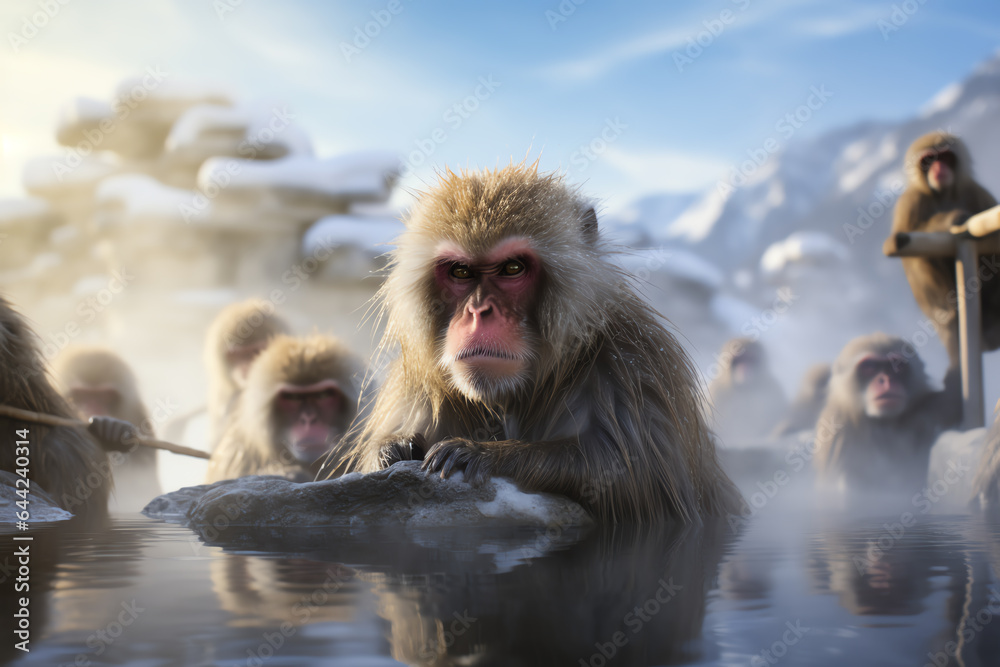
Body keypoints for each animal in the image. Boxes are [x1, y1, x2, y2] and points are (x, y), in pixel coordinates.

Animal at [319, 162, 743, 523]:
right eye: (460, 272)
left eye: (512, 268)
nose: (479, 311)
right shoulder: (420, 382)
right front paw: (394, 447)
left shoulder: (633, 363)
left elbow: (640, 484)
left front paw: (485, 454)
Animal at [813, 333, 961, 495]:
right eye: (869, 367)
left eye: (898, 365)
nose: (886, 380)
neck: (881, 423)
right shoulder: (835, 428)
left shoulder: (926, 411)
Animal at [883, 132, 1000, 368]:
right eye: (929, 159)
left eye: (945, 157)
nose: (938, 169)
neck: (943, 193)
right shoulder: (910, 201)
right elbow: (898, 245)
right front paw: (954, 218)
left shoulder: (976, 191)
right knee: (920, 258)